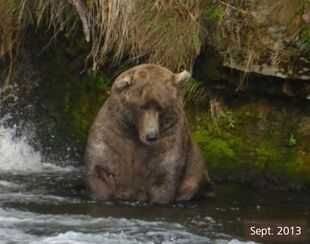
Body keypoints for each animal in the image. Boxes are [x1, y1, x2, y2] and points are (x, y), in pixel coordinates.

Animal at [85, 63, 211, 203]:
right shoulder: (113, 134)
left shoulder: (169, 140)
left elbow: (164, 176)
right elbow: (101, 168)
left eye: (161, 107)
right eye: (142, 106)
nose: (151, 136)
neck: (134, 133)